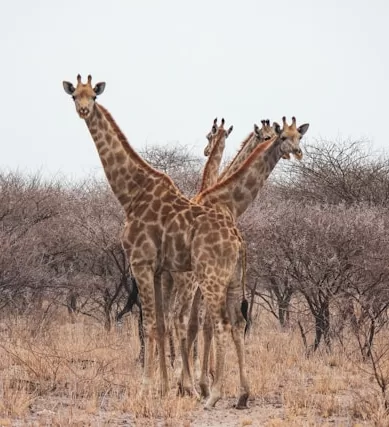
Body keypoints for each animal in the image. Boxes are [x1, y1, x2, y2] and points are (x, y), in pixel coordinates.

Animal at [62, 75, 247, 410]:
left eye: (93, 95)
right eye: (74, 96)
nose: (83, 110)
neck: (131, 193)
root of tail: (238, 240)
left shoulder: (142, 263)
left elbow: (148, 325)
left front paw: (146, 389)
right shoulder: (159, 270)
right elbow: (160, 324)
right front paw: (165, 387)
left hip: (210, 277)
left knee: (218, 324)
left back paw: (211, 394)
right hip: (229, 279)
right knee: (234, 323)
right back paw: (239, 394)